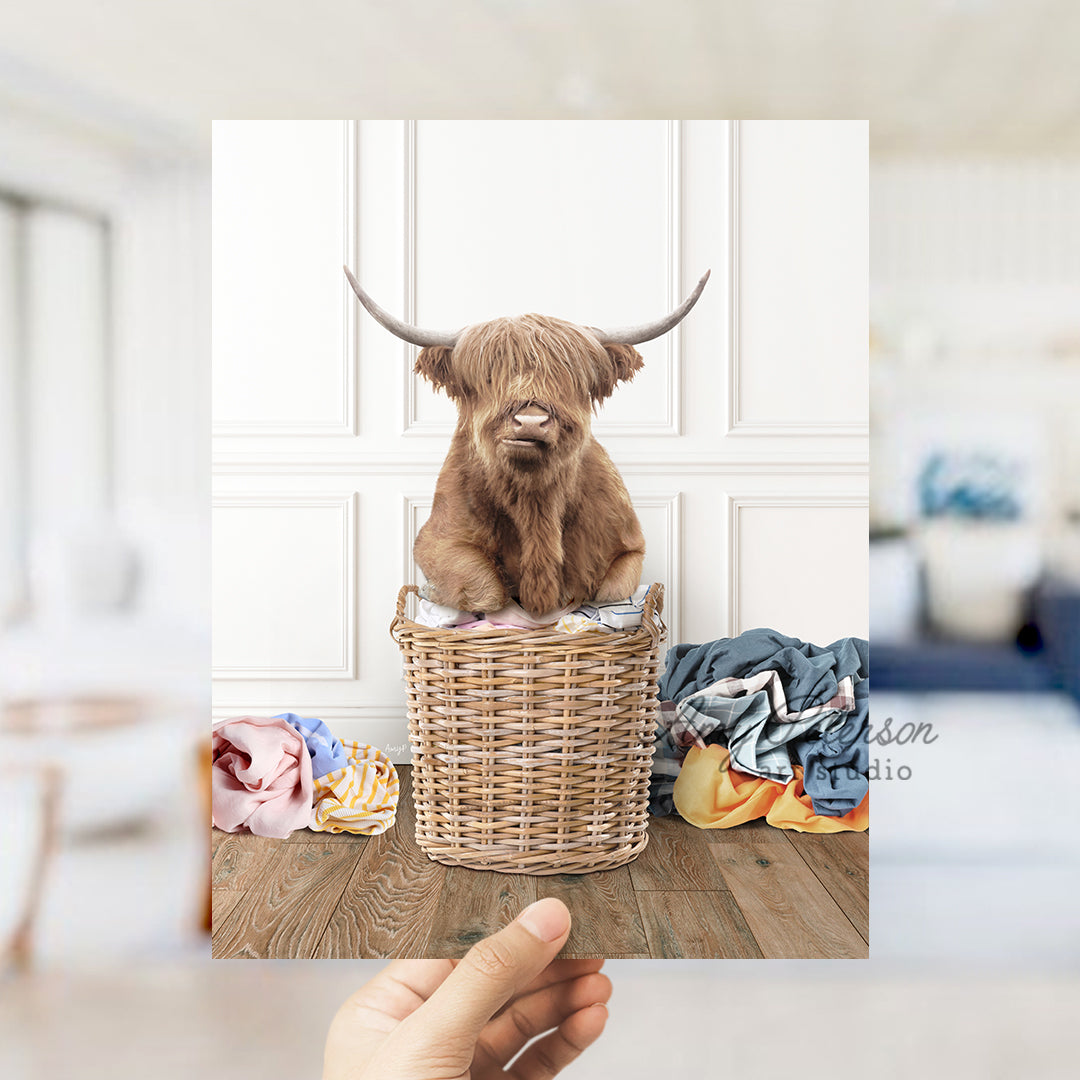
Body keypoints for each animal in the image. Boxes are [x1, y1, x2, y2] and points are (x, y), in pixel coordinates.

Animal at [345, 268, 708, 617]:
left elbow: (609, 593)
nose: (531, 421)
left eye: (570, 378)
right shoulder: (435, 540)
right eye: (488, 376)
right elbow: (487, 591)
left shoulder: (629, 545)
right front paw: (431, 591)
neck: (535, 504)